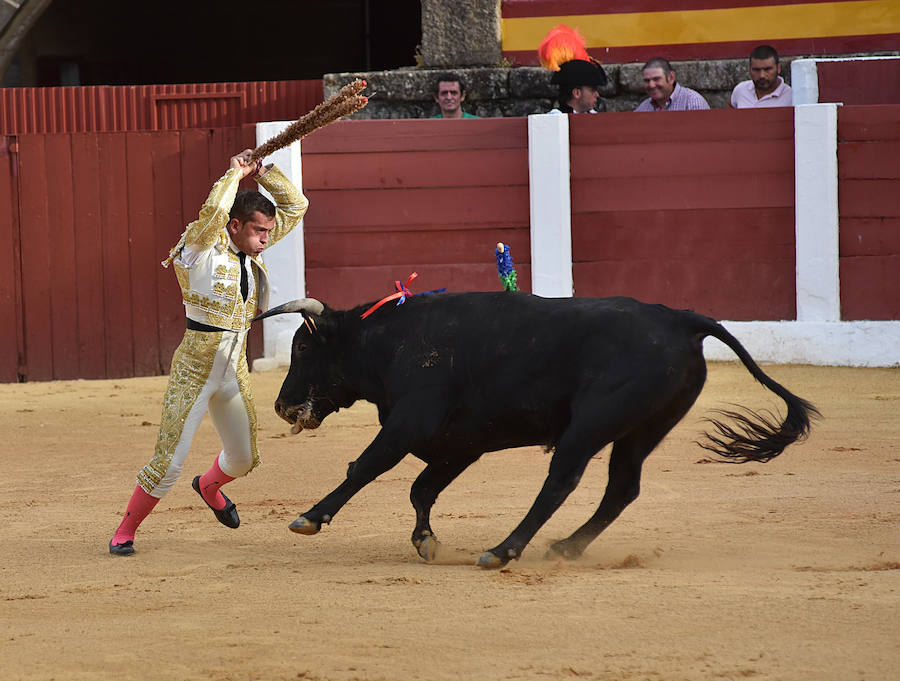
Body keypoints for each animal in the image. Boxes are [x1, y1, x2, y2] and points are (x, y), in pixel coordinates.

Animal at [253, 290, 816, 564]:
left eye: (302, 347)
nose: (281, 406)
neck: (388, 341)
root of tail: (680, 319)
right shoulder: (461, 444)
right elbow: (421, 489)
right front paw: (426, 542)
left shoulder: (410, 424)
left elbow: (364, 467)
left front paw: (309, 518)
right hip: (641, 431)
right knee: (621, 488)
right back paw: (566, 547)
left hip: (590, 426)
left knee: (560, 482)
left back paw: (504, 550)